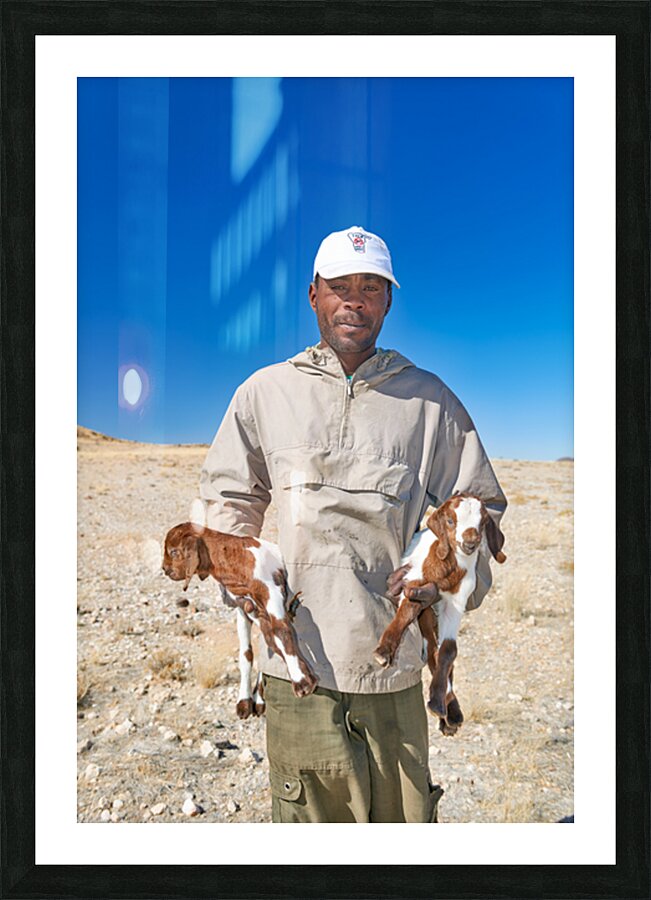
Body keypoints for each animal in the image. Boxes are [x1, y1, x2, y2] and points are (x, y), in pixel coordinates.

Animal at [162, 520, 317, 718]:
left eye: (174, 551)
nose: (164, 569)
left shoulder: (270, 592)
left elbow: (282, 632)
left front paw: (302, 681)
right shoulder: (246, 609)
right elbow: (248, 654)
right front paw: (245, 701)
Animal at [374, 494, 506, 735]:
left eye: (482, 522)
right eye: (451, 521)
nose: (470, 544)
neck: (449, 568)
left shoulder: (455, 601)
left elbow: (448, 650)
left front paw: (437, 702)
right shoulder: (414, 581)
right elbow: (406, 612)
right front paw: (384, 651)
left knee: (436, 651)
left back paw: (451, 712)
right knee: (430, 647)